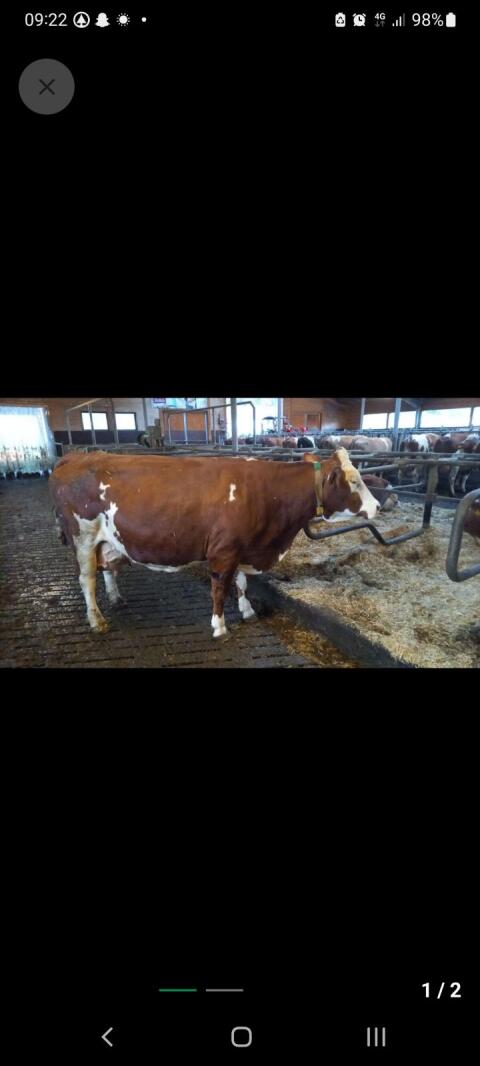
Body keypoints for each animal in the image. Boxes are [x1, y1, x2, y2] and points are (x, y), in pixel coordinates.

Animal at [50, 448, 380, 638]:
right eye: (354, 481)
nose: (377, 506)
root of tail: (76, 455)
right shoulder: (224, 551)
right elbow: (220, 589)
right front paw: (220, 627)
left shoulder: (245, 546)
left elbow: (243, 582)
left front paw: (247, 611)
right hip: (83, 536)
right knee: (87, 579)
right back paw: (96, 620)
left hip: (107, 539)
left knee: (108, 567)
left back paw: (116, 597)